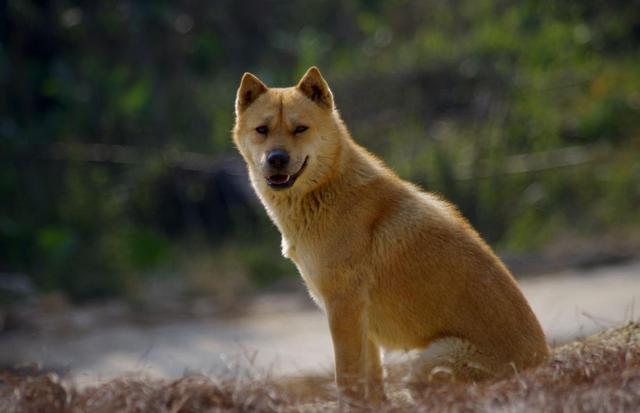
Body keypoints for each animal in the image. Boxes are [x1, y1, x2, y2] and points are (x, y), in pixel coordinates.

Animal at [232, 66, 548, 404]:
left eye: (300, 129)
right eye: (262, 130)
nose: (276, 158)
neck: (327, 189)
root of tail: (544, 364)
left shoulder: (343, 309)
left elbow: (346, 378)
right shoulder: (361, 323)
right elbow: (371, 381)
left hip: (426, 368)